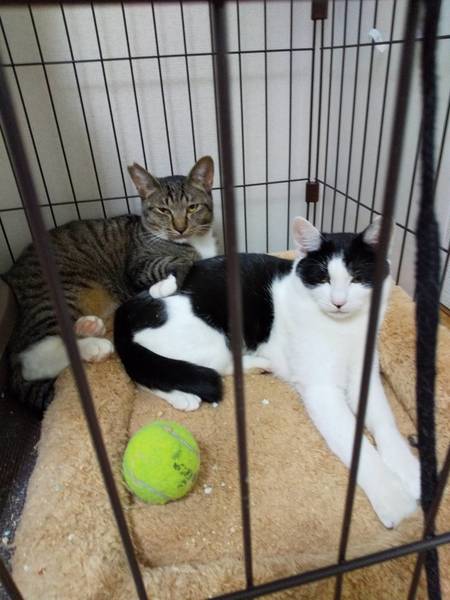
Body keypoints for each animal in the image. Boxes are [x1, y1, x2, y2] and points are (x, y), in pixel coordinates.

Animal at [3, 156, 217, 411]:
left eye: (192, 207)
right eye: (163, 210)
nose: (180, 227)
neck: (194, 242)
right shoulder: (137, 266)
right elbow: (181, 261)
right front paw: (163, 284)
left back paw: (89, 327)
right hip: (60, 293)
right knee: (31, 361)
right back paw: (94, 347)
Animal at [114, 216, 420, 528]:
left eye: (357, 277)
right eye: (323, 278)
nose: (339, 301)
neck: (344, 329)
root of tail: (125, 309)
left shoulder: (364, 371)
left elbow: (384, 421)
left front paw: (408, 469)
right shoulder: (320, 390)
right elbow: (356, 446)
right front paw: (392, 496)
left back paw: (255, 364)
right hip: (210, 341)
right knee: (156, 372)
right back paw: (185, 396)